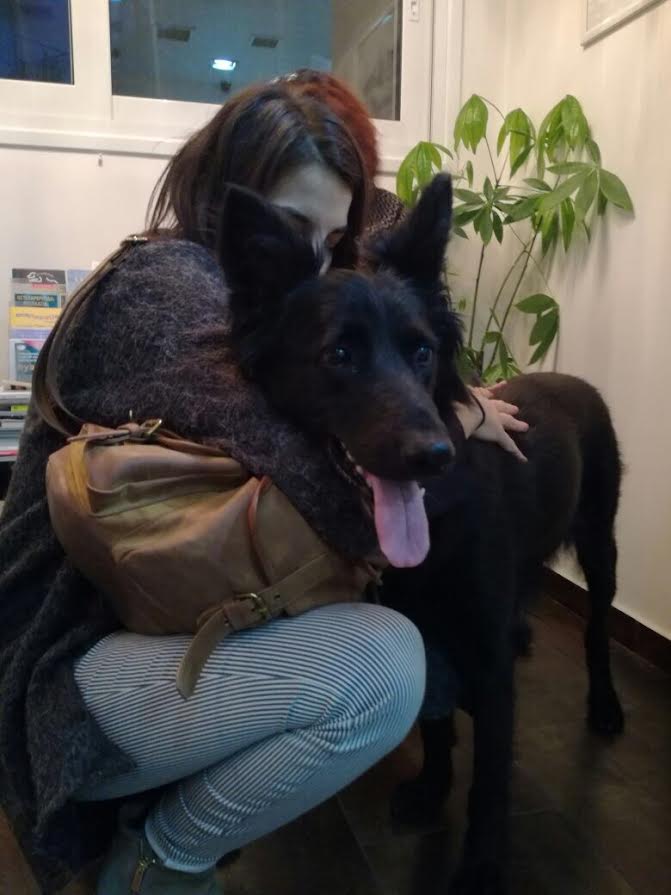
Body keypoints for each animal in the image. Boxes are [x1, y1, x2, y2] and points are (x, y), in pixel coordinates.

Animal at [220, 174, 624, 895]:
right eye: (340, 355)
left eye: (422, 352)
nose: (432, 455)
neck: (435, 516)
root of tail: (575, 378)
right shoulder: (421, 630)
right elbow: (436, 724)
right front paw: (433, 787)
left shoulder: (488, 666)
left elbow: (490, 781)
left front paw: (480, 868)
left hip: (601, 547)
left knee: (597, 630)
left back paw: (604, 704)